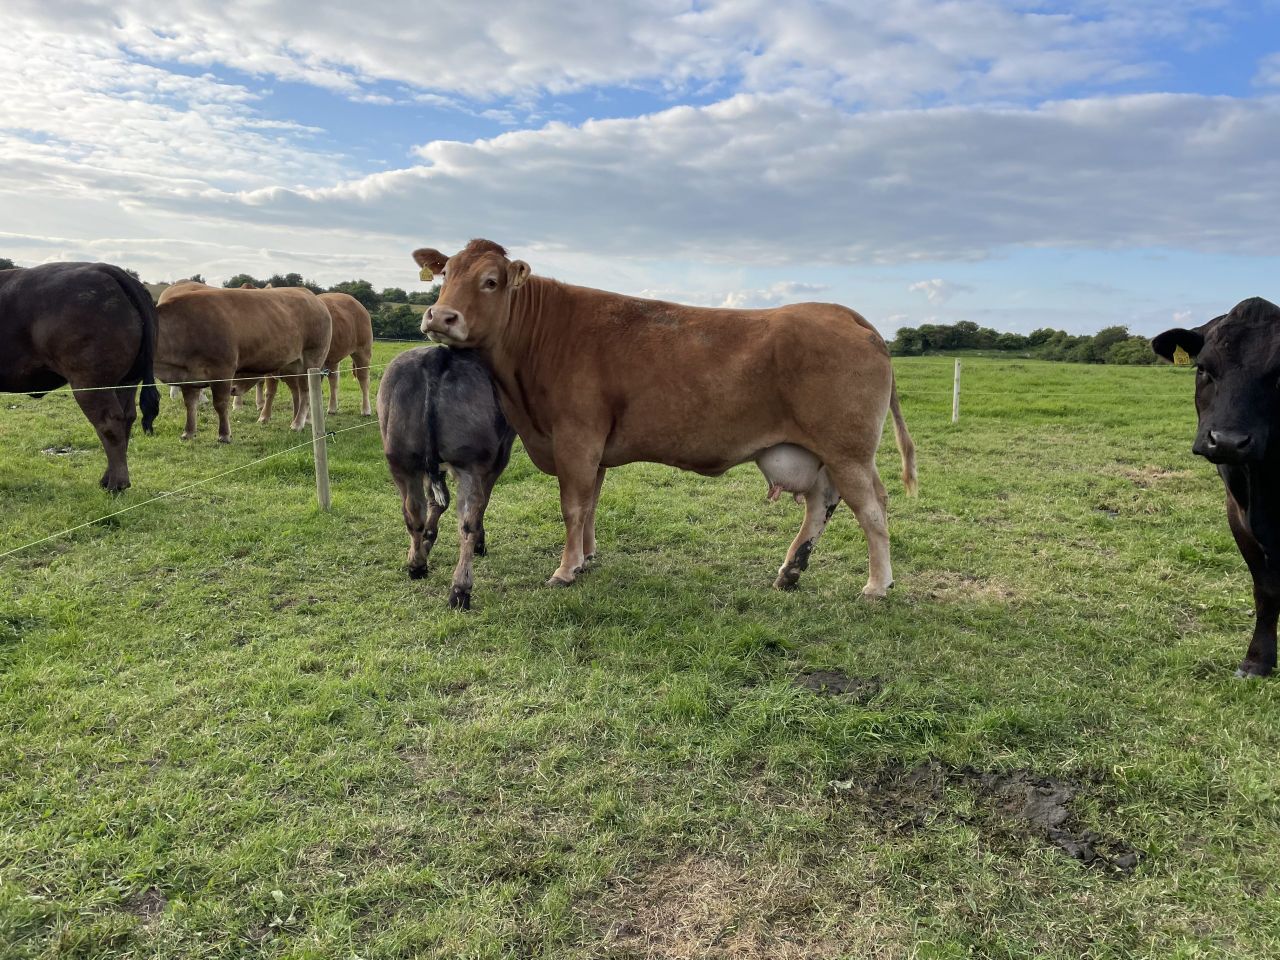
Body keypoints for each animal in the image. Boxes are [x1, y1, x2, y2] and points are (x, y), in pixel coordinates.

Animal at [0, 262, 160, 491]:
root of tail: (105, 269)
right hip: (125, 382)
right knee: (127, 419)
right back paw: (107, 479)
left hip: (90, 383)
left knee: (110, 423)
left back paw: (117, 484)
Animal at [155, 282, 331, 441]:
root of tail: (313, 297)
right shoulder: (187, 376)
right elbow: (190, 404)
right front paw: (188, 432)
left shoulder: (223, 371)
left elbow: (220, 404)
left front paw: (224, 435)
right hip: (290, 365)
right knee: (297, 392)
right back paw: (300, 419)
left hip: (311, 360)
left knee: (306, 392)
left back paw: (298, 423)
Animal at [377, 346, 516, 610]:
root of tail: (437, 354)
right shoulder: (496, 460)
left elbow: (437, 501)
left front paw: (427, 541)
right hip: (472, 465)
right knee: (469, 521)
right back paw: (461, 589)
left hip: (400, 462)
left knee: (413, 512)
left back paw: (417, 564)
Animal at [412, 239, 917, 597]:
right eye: (446, 274)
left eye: (490, 281)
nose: (440, 316)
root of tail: (843, 314)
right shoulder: (594, 449)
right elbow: (590, 505)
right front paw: (585, 559)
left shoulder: (576, 438)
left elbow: (573, 506)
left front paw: (565, 569)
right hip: (815, 452)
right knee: (821, 504)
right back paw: (791, 571)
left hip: (848, 450)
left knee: (872, 508)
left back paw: (877, 585)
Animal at [1153, 297, 1280, 678]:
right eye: (1204, 369)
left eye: (1279, 374)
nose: (1227, 441)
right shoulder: (1237, 513)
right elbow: (1265, 590)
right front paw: (1257, 661)